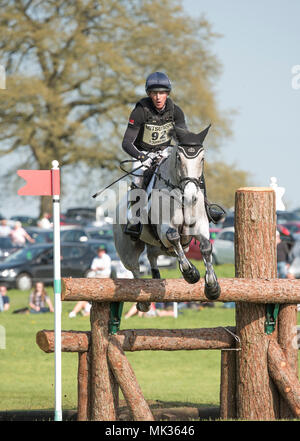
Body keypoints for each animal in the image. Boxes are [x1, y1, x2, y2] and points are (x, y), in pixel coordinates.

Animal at [112, 125, 220, 312]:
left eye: (202, 159)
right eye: (179, 158)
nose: (191, 197)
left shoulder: (200, 226)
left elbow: (206, 247)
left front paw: (212, 287)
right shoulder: (164, 229)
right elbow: (174, 236)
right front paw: (191, 273)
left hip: (158, 246)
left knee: (152, 256)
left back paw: (155, 277)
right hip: (128, 250)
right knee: (135, 268)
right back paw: (143, 302)